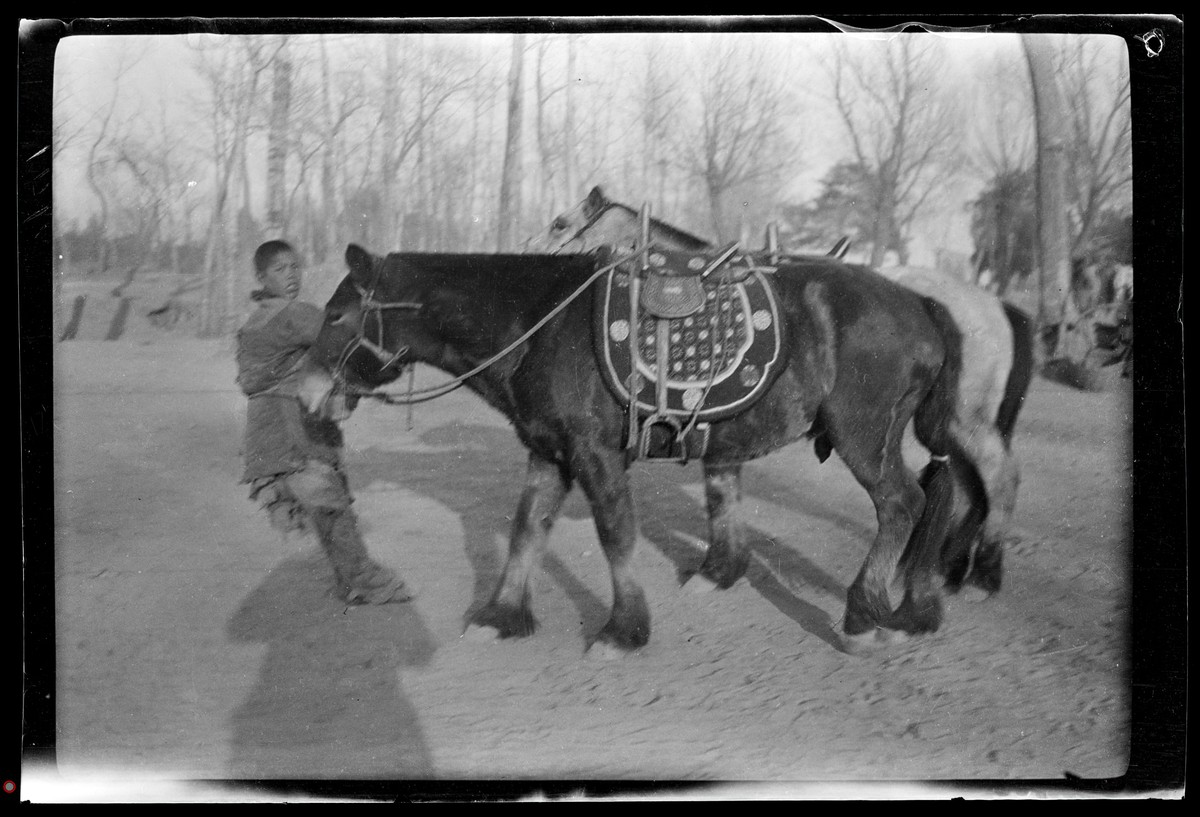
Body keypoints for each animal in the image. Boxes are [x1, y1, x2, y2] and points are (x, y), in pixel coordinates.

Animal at [307, 243, 984, 657]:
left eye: (337, 314)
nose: (308, 389)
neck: (540, 320)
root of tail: (918, 302)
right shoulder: (550, 454)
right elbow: (527, 530)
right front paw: (501, 616)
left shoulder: (595, 454)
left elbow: (616, 535)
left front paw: (624, 629)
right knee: (931, 496)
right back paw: (914, 607)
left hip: (864, 437)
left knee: (901, 504)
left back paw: (863, 616)